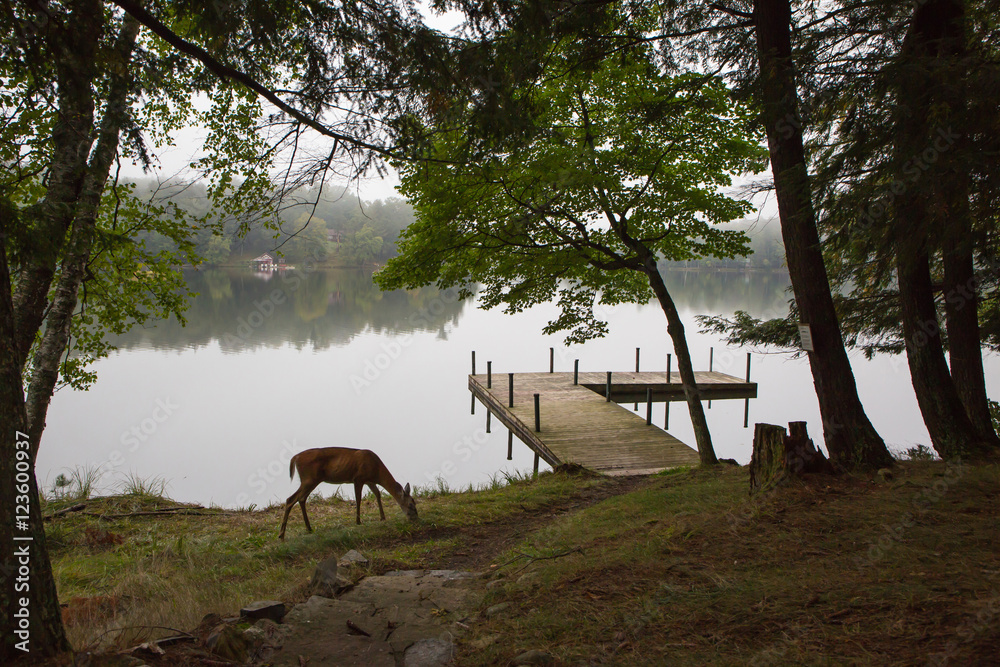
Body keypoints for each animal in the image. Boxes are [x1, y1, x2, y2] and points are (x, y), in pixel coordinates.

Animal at [278, 447, 418, 540]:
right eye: (411, 505)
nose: (415, 518)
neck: (376, 471)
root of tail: (295, 458)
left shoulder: (369, 480)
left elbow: (377, 494)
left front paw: (382, 517)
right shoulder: (358, 478)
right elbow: (358, 498)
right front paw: (358, 521)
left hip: (310, 480)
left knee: (301, 499)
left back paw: (308, 528)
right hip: (309, 478)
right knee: (291, 499)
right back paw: (281, 534)